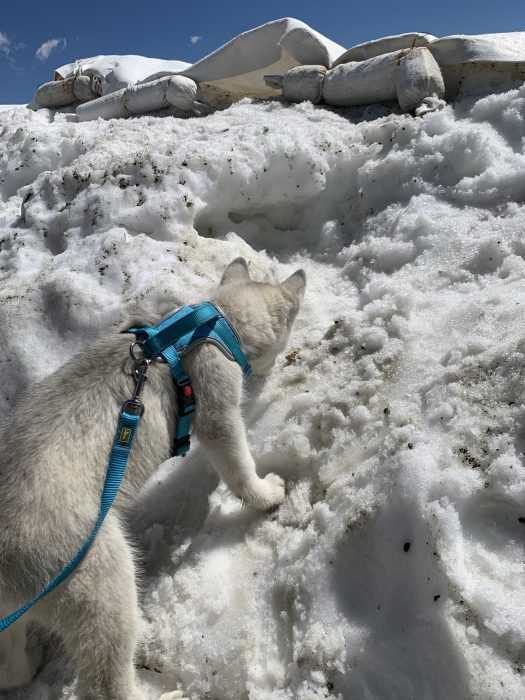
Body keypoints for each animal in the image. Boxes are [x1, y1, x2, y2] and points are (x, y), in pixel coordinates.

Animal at [0, 260, 304, 700]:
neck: (214, 321)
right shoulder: (214, 392)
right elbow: (235, 458)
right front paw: (267, 494)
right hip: (96, 578)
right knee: (107, 679)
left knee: (11, 667)